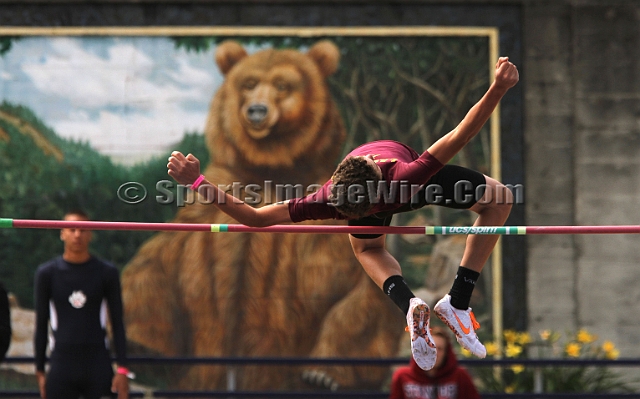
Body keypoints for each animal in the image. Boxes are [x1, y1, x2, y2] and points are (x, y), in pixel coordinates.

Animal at [121, 39, 400, 390]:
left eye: (282, 85)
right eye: (249, 83)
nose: (256, 110)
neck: (269, 166)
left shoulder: (319, 216)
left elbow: (346, 285)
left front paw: (324, 373)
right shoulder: (212, 203)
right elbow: (160, 260)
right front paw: (141, 342)